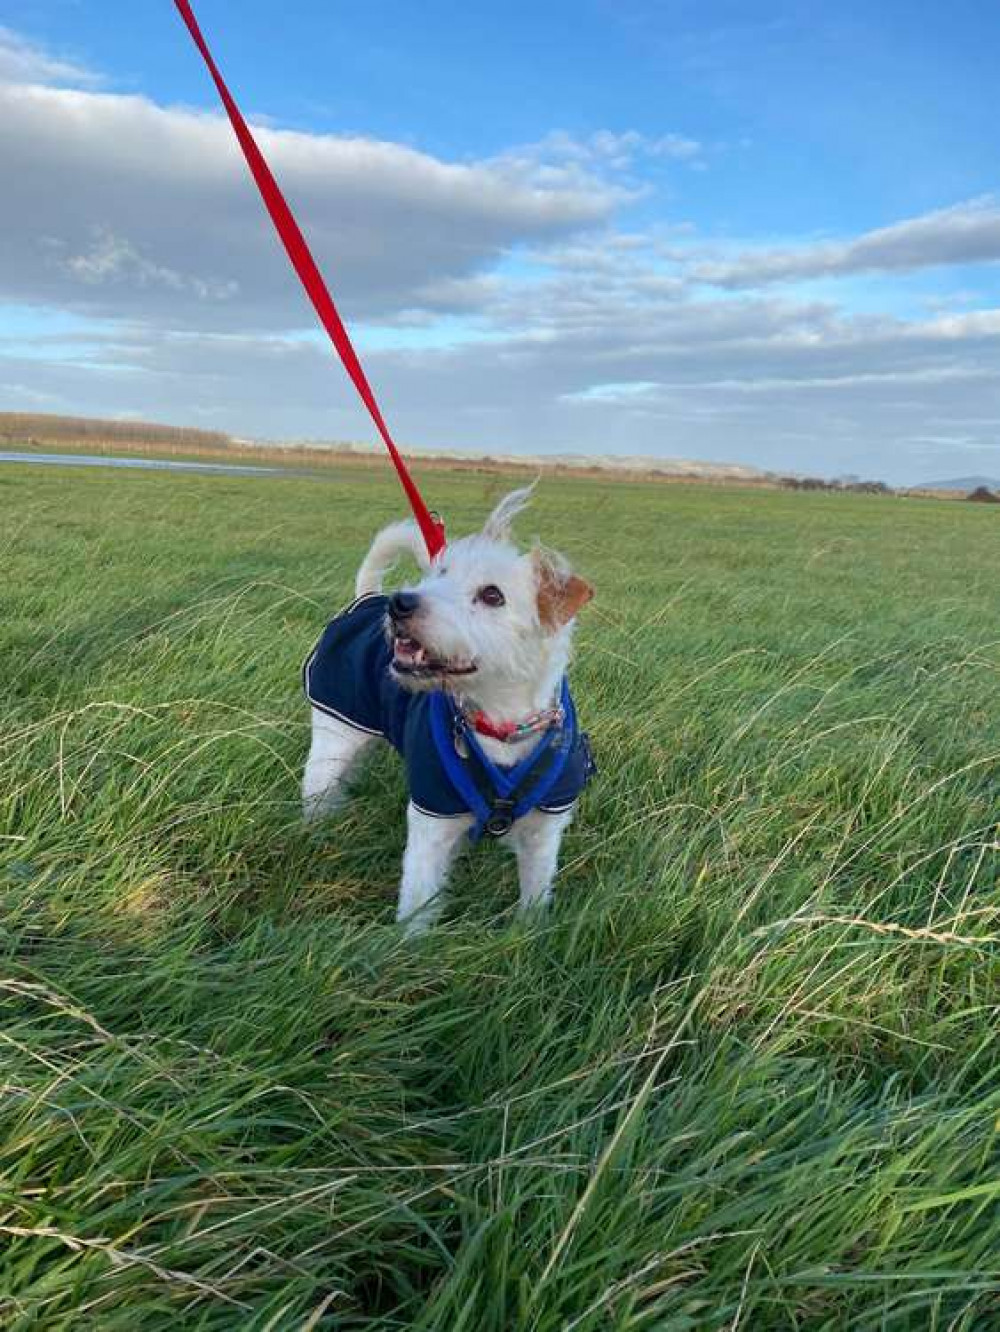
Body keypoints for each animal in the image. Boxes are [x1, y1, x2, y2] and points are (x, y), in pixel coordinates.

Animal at [300, 484, 591, 932]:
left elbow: (535, 896)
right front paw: (410, 945)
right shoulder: (431, 822)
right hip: (334, 737)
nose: (400, 603)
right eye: (440, 575)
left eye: (492, 595)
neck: (499, 725)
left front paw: (529, 936)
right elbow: (418, 900)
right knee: (319, 789)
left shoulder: (544, 833)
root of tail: (367, 597)